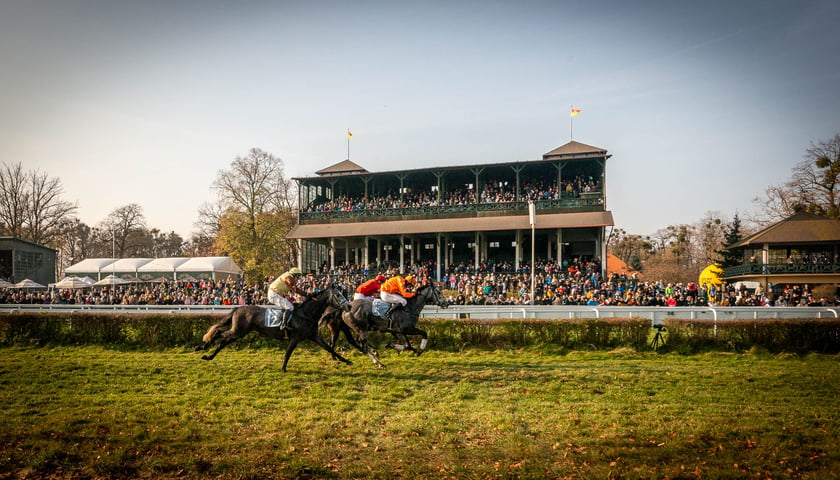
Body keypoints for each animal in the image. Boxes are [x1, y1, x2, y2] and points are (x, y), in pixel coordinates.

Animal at [196, 284, 352, 374]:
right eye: (337, 295)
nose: (349, 306)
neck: (306, 314)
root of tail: (237, 308)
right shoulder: (295, 338)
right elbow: (288, 353)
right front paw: (283, 369)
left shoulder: (314, 336)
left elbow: (329, 348)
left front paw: (346, 361)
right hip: (238, 331)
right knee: (218, 333)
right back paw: (202, 347)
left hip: (239, 333)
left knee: (223, 342)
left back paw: (209, 356)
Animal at [322, 282, 450, 368]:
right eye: (439, 292)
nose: (446, 303)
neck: (409, 307)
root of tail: (345, 308)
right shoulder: (404, 329)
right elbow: (420, 336)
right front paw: (420, 350)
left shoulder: (398, 331)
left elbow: (409, 344)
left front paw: (394, 346)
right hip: (360, 328)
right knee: (362, 345)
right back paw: (378, 362)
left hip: (353, 328)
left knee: (351, 342)